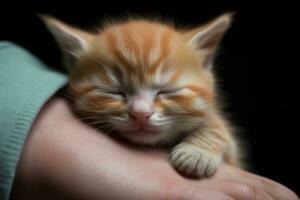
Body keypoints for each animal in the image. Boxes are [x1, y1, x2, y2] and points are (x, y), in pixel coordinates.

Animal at [40, 13, 241, 177]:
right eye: (113, 91)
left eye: (167, 91)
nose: (140, 114)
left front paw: (197, 153)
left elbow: (215, 124)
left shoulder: (233, 153)